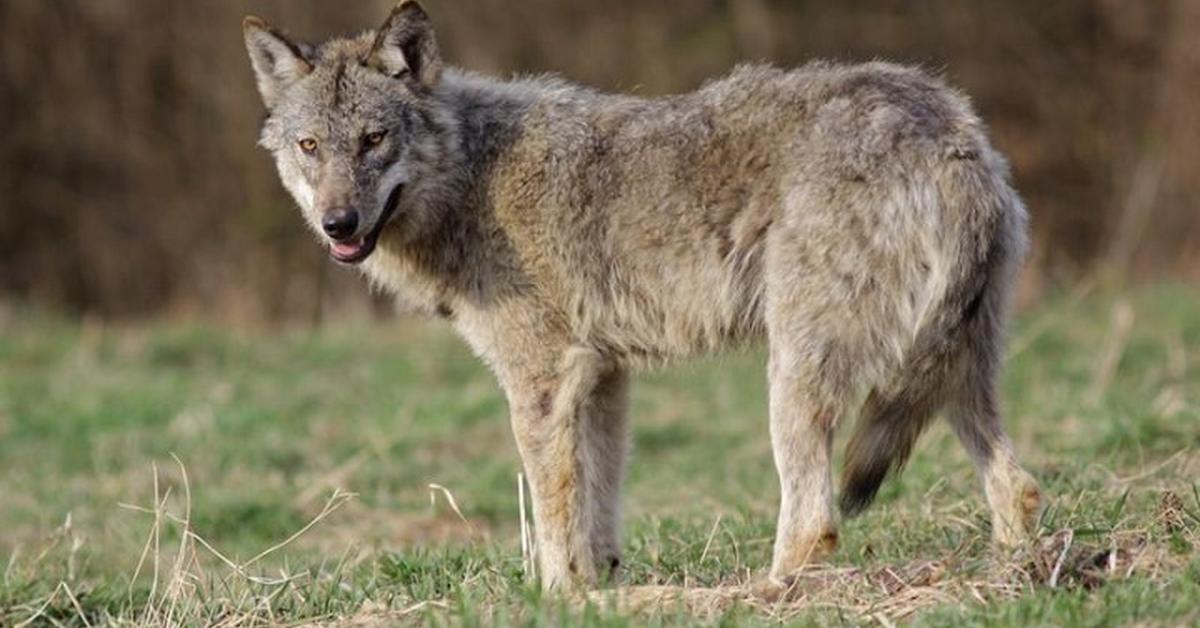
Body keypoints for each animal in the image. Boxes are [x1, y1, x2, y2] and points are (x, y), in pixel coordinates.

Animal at [241, 0, 1041, 593]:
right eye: (311, 147)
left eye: (374, 139)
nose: (338, 224)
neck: (472, 178)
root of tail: (949, 131)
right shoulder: (603, 378)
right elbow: (596, 510)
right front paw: (600, 590)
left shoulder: (541, 381)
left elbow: (555, 515)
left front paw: (555, 600)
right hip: (950, 376)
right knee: (1020, 486)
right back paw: (1016, 576)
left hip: (796, 373)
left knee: (816, 519)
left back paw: (762, 597)